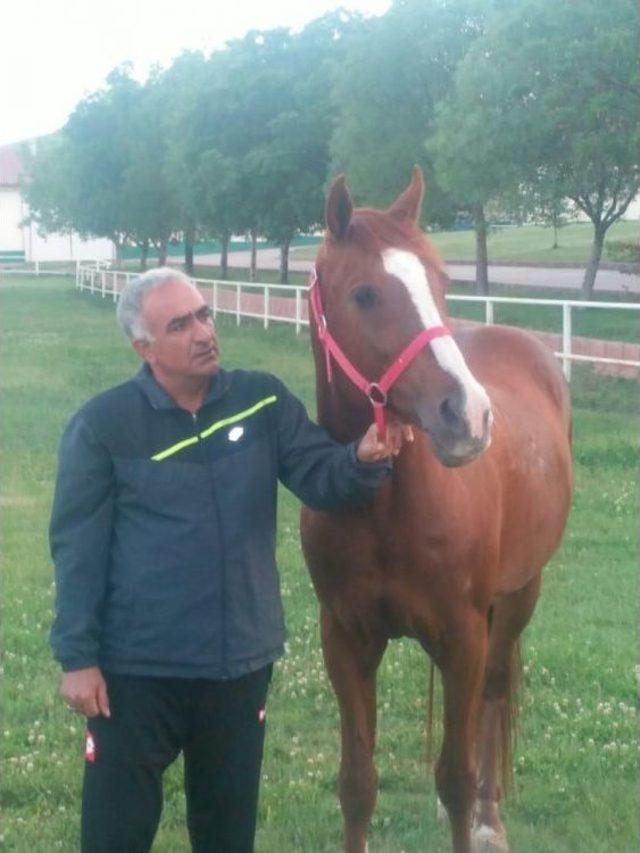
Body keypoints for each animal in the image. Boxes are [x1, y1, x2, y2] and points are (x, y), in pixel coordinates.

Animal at [302, 168, 576, 852]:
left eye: (441, 284)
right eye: (365, 294)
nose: (468, 417)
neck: (387, 511)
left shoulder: (462, 637)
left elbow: (455, 776)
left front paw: (470, 812)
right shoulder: (344, 640)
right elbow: (357, 783)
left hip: (517, 599)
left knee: (495, 698)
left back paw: (489, 819)